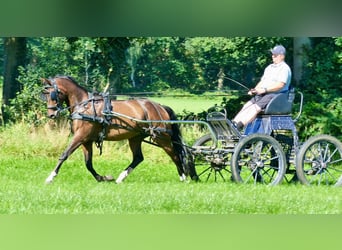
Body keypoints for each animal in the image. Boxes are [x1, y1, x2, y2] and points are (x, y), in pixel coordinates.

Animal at [40, 75, 198, 183]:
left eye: (53, 94)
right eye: (44, 95)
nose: (51, 114)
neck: (84, 105)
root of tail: (159, 106)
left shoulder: (81, 136)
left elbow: (64, 154)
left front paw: (50, 177)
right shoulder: (86, 140)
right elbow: (88, 163)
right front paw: (103, 178)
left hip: (161, 137)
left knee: (175, 155)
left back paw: (183, 177)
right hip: (135, 137)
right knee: (138, 158)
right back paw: (121, 177)